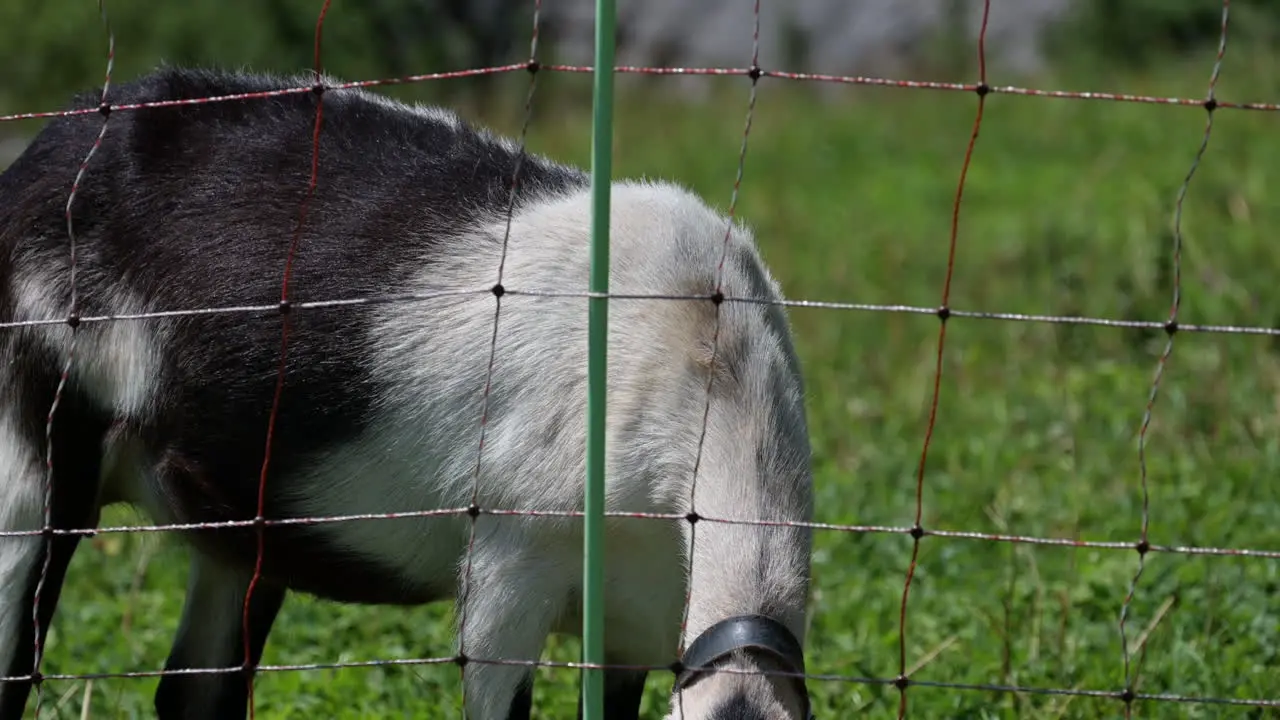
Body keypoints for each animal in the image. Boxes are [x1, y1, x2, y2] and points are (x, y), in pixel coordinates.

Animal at [0, 67, 814, 717]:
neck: (708, 355)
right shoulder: (512, 564)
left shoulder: (638, 627)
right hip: (32, 449)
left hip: (235, 529)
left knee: (193, 692)